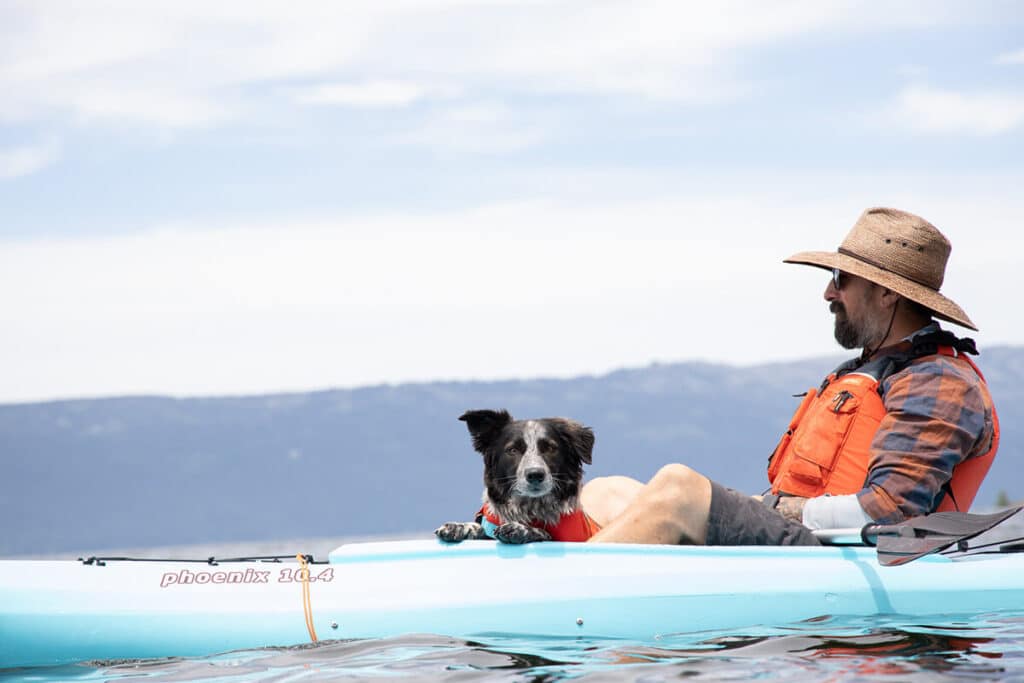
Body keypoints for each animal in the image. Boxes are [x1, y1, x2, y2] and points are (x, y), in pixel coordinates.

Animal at [434, 411, 598, 544]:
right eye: (512, 450)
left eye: (551, 448)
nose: (535, 475)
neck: (530, 508)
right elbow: (481, 529)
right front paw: (459, 526)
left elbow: (545, 533)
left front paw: (521, 529)